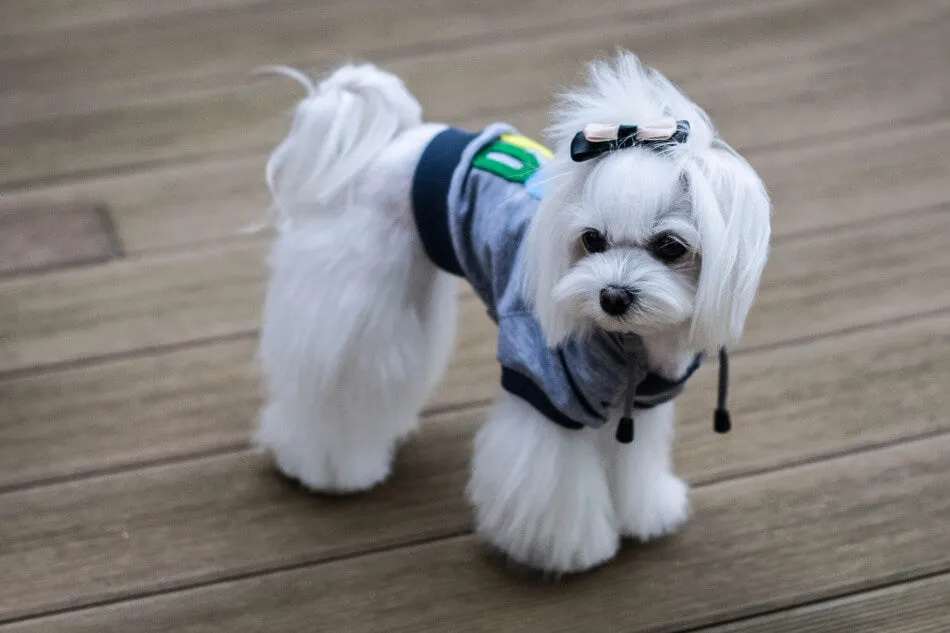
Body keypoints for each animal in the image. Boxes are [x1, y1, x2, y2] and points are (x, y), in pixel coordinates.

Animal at [255, 53, 772, 572]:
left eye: (671, 246)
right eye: (591, 240)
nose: (612, 296)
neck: (631, 346)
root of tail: (384, 148)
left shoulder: (640, 405)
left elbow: (632, 462)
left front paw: (644, 512)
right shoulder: (547, 388)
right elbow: (552, 483)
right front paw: (568, 550)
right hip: (356, 302)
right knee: (338, 386)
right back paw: (328, 467)